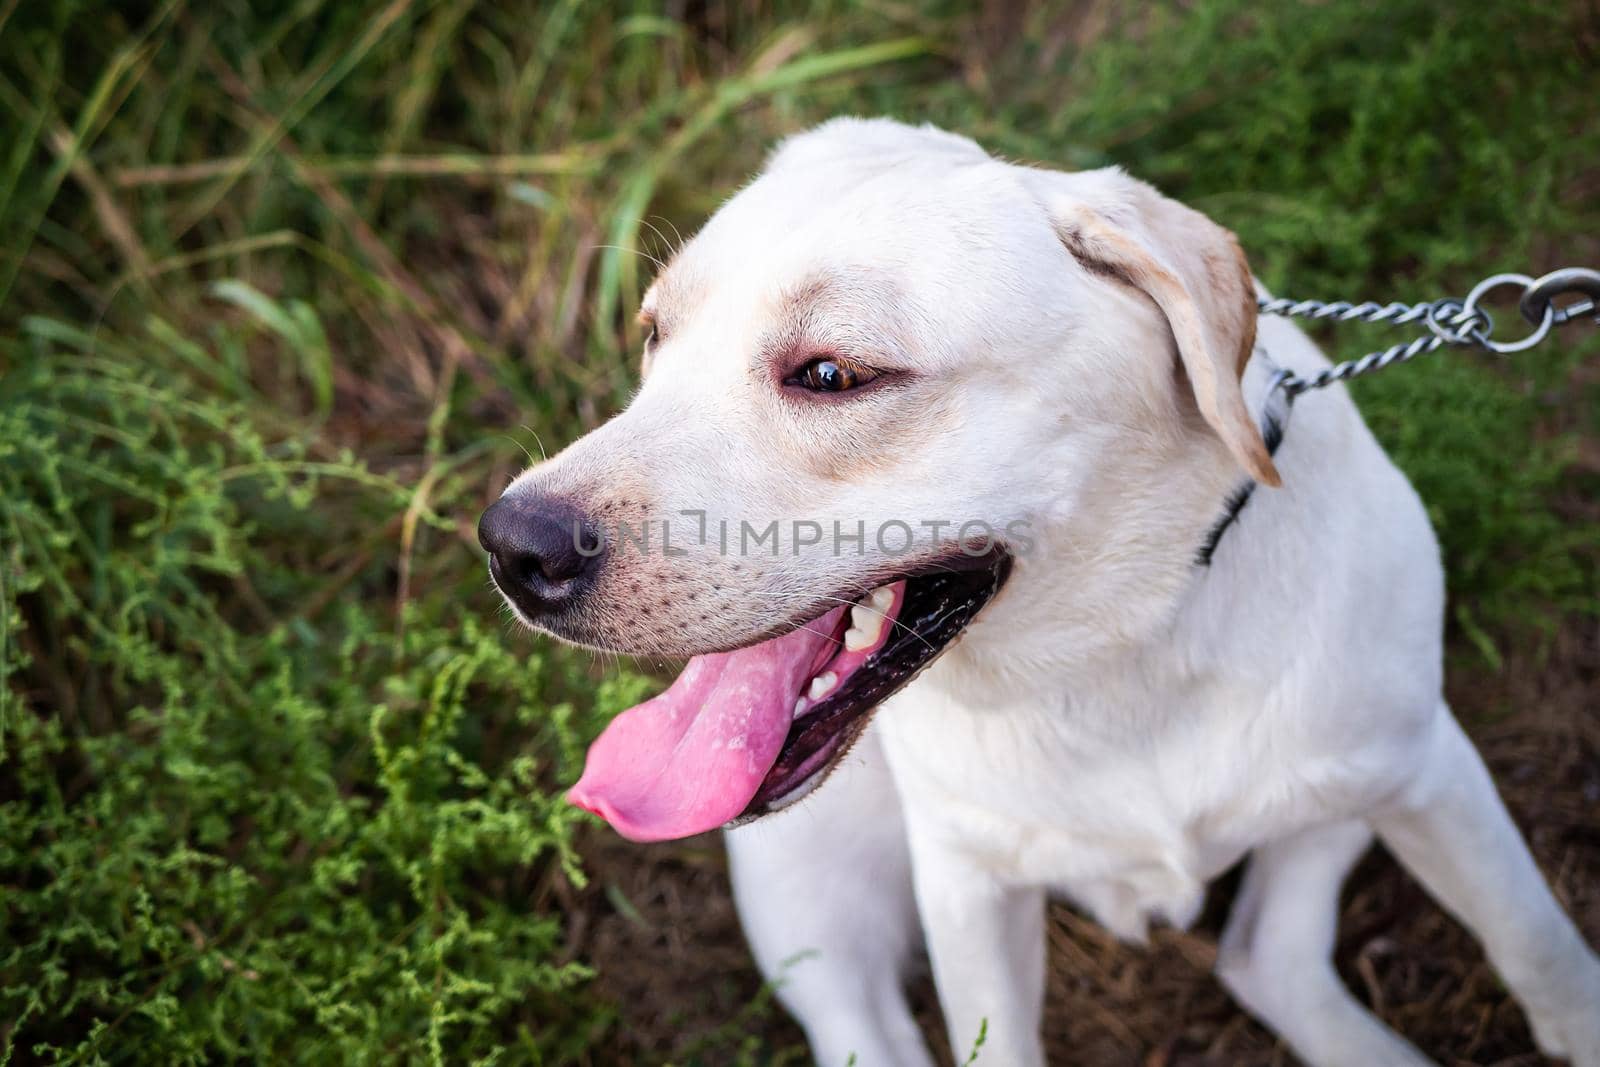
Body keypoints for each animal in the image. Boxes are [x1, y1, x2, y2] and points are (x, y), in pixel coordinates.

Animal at [476, 120, 1600, 1062]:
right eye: (654, 335)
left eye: (834, 374)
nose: (513, 546)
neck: (1113, 649)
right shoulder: (968, 888)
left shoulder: (1429, 774)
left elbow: (1536, 942)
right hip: (811, 896)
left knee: (1265, 951)